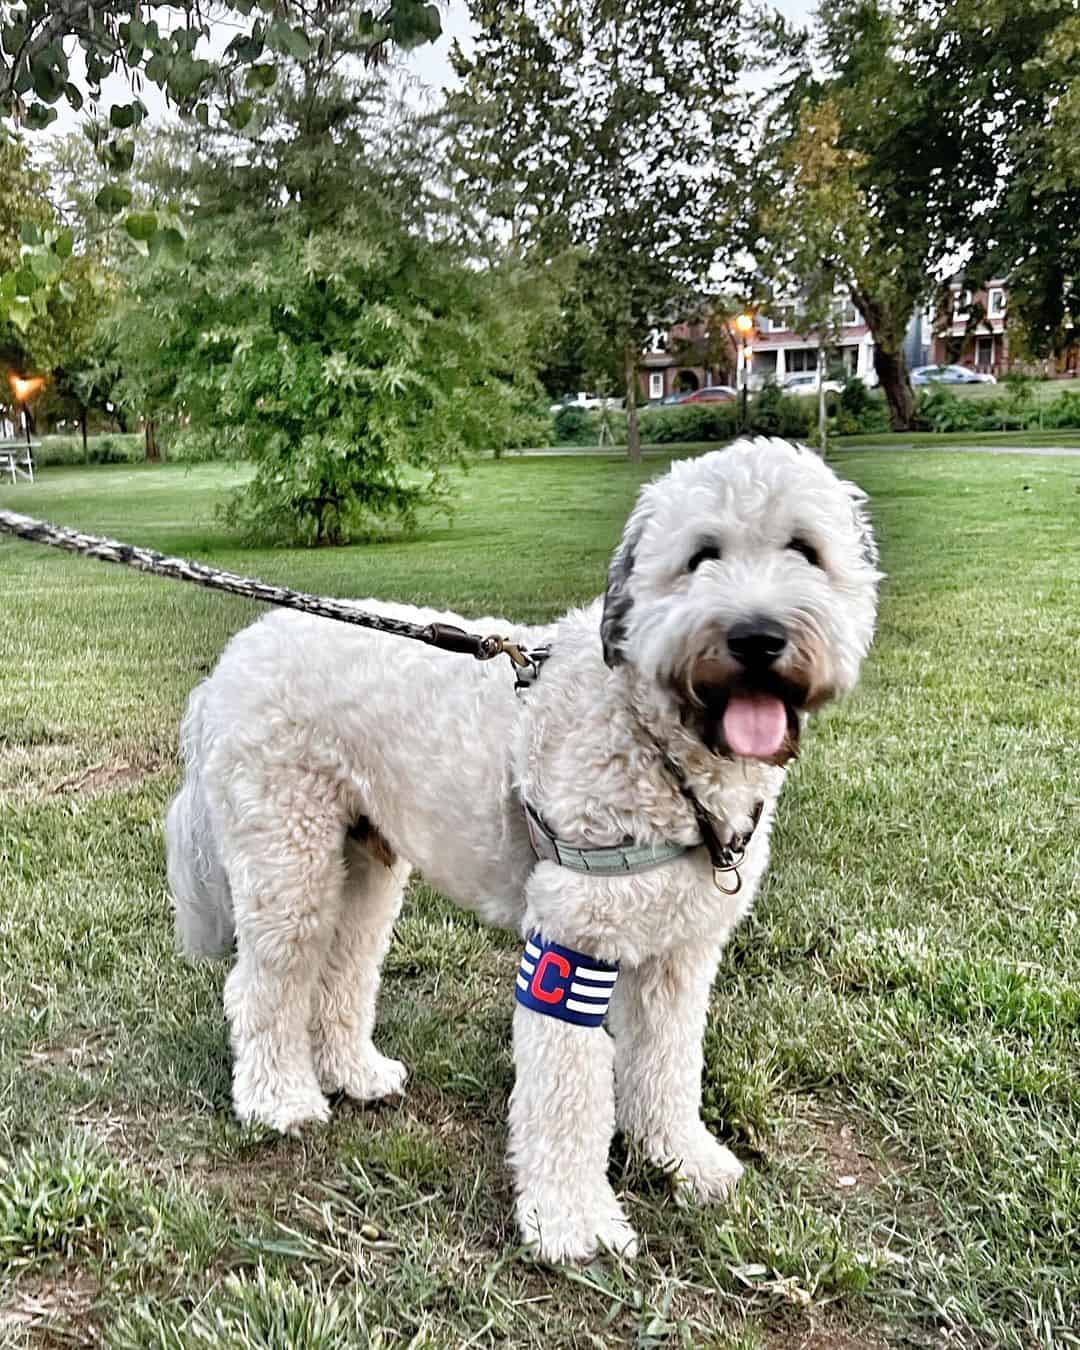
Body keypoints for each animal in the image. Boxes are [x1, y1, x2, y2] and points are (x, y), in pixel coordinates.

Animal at [166, 440, 874, 1263]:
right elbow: (570, 1090)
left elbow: (668, 1063)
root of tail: (234, 658)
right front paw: (572, 1222)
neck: (652, 736)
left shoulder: (679, 952)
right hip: (288, 859)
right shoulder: (572, 946)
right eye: (702, 556)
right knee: (265, 985)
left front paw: (680, 1158)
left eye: (805, 551)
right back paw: (279, 1100)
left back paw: (356, 1074)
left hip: (364, 865)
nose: (756, 637)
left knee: (343, 970)